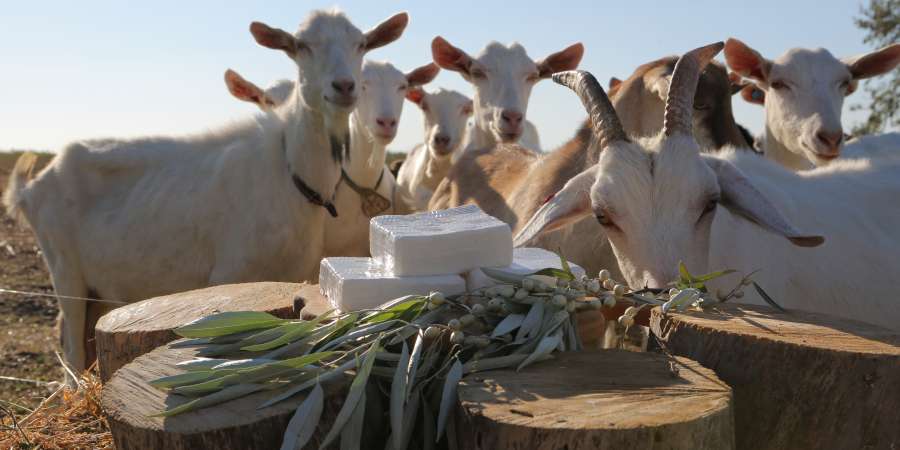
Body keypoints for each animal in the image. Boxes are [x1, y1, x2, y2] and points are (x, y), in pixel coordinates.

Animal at [1, 9, 410, 372]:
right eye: (300, 45)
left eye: (361, 43)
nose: (344, 87)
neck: (289, 173)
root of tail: (34, 184)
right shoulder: (229, 275)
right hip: (64, 270)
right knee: (72, 346)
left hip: (100, 287)